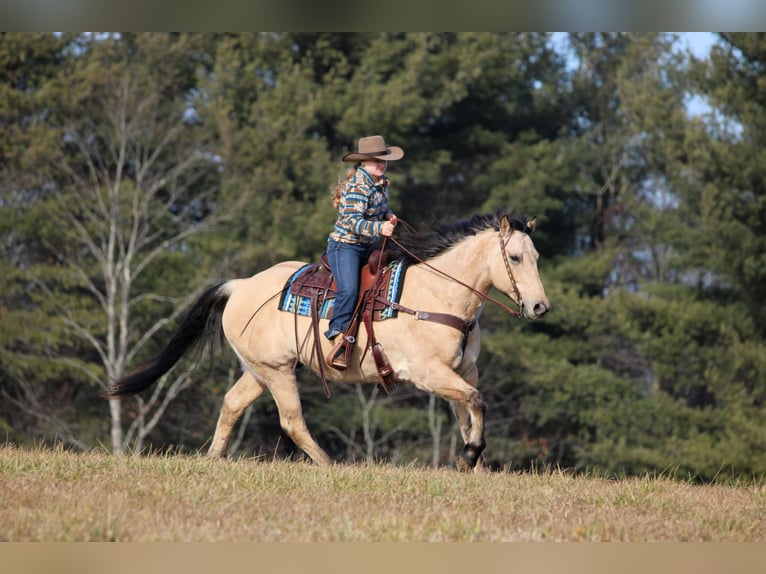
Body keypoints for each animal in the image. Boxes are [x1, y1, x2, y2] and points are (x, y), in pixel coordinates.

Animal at [107, 210, 549, 470]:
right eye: (514, 258)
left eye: (537, 257)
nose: (540, 306)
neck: (438, 295)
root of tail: (239, 285)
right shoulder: (428, 373)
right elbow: (477, 401)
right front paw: (472, 455)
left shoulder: (461, 369)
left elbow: (468, 411)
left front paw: (472, 463)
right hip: (278, 372)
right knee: (292, 420)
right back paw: (328, 464)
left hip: (259, 370)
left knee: (232, 403)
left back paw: (214, 459)